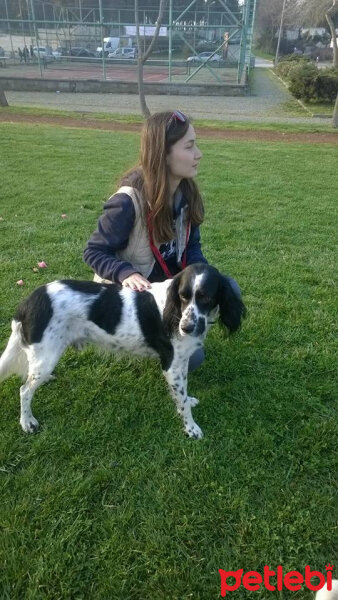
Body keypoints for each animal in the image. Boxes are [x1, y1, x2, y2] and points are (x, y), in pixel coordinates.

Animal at [0, 264, 244, 438]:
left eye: (206, 297)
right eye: (183, 296)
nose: (186, 328)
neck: (175, 310)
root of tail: (28, 300)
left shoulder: (181, 361)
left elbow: (183, 394)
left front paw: (189, 401)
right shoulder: (171, 365)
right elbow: (182, 402)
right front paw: (191, 428)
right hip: (46, 357)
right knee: (24, 390)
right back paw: (27, 422)